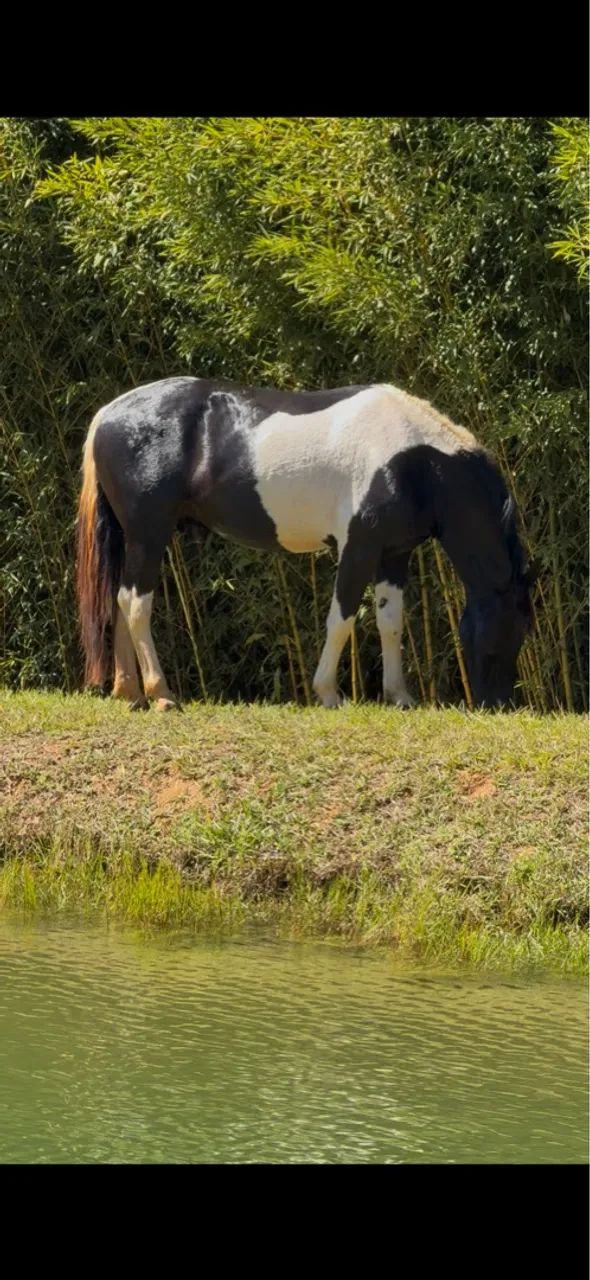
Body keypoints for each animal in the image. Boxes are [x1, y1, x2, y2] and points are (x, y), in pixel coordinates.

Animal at [76, 377, 535, 711]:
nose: (499, 705)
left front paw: (400, 697)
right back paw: (161, 694)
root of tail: (108, 413)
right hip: (149, 534)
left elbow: (390, 622)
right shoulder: (357, 548)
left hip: (133, 538)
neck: (414, 462)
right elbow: (342, 620)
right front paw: (329, 693)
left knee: (118, 601)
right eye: (512, 627)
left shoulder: (394, 555)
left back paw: (129, 692)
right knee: (136, 603)